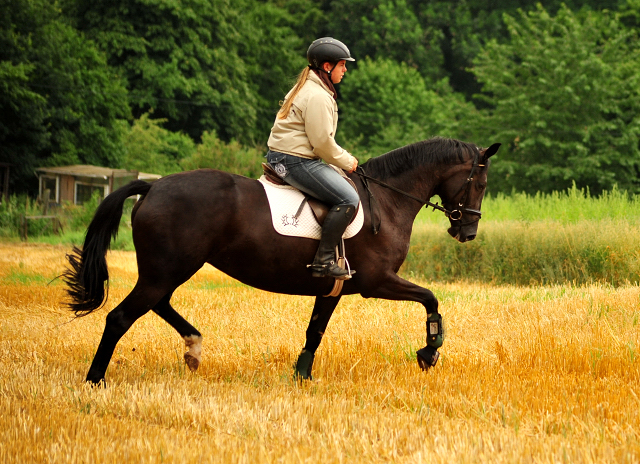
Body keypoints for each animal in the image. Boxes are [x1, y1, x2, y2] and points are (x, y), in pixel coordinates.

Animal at [65, 137, 502, 384]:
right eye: (480, 183)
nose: (469, 232)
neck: (388, 197)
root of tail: (153, 187)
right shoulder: (376, 281)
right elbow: (430, 298)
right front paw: (429, 352)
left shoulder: (334, 288)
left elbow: (315, 331)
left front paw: (301, 376)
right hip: (166, 270)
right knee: (120, 317)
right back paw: (95, 380)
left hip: (168, 270)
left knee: (158, 304)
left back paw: (193, 347)